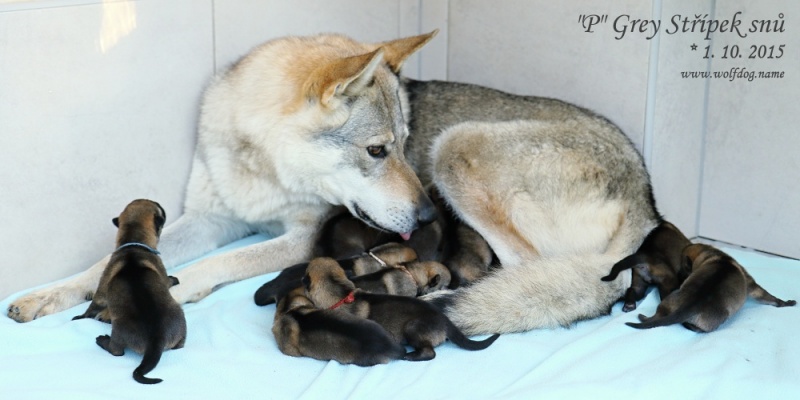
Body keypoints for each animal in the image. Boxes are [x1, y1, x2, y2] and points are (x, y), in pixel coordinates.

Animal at [72, 200, 187, 384]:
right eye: (159, 208)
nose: (160, 204)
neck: (133, 243)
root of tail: (157, 338)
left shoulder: (102, 290)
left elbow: (94, 303)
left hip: (118, 330)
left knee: (116, 351)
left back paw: (103, 340)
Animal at [628, 244, 796, 332]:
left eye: (682, 269)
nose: (680, 277)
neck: (719, 257)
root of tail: (691, 305)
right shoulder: (752, 285)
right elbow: (768, 296)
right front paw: (787, 303)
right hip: (718, 319)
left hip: (667, 303)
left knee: (657, 316)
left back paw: (643, 317)